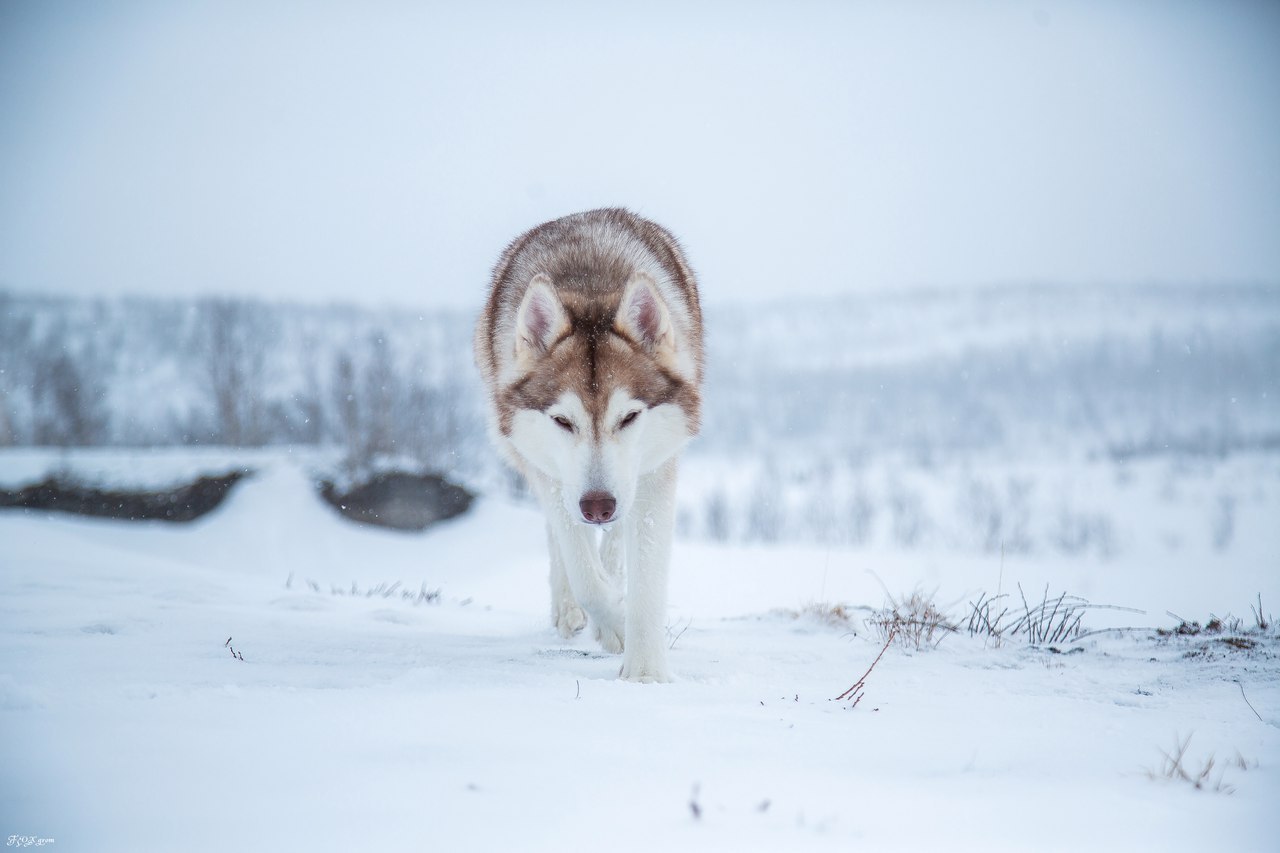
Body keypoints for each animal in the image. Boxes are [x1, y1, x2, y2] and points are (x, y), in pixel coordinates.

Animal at [476, 208, 706, 681]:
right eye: (563, 421)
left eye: (629, 417)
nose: (598, 506)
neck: (591, 289)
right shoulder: (554, 478)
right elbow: (581, 568)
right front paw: (613, 623)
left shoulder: (654, 474)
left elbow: (646, 579)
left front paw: (645, 673)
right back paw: (570, 610)